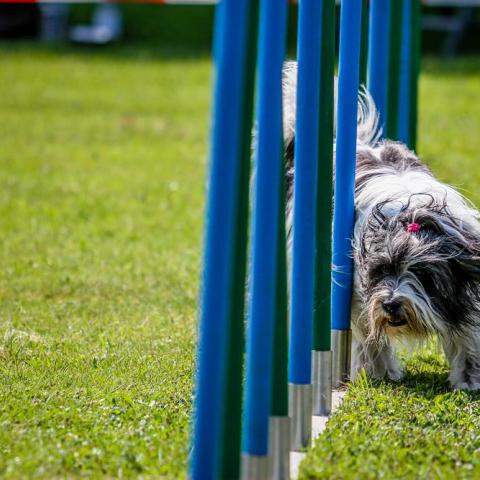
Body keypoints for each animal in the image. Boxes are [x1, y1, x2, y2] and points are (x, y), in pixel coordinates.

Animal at [282, 61, 480, 390]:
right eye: (382, 270)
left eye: (422, 274)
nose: (390, 304)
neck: (411, 217)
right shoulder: (360, 291)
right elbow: (368, 333)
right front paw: (379, 370)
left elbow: (468, 334)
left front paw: (469, 377)